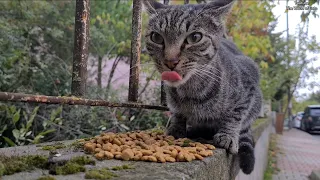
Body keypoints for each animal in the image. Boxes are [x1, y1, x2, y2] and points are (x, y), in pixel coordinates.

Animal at [142, 0, 262, 174]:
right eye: (156, 37)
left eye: (195, 37)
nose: (170, 61)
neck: (189, 92)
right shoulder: (173, 101)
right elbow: (177, 112)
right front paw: (176, 127)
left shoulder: (249, 82)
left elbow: (236, 114)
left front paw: (228, 135)